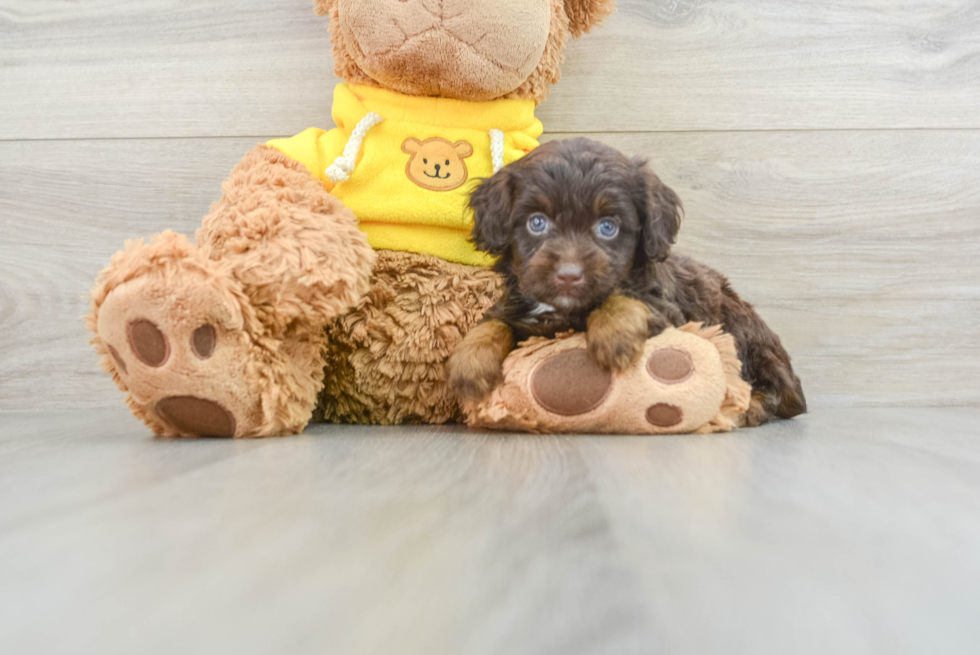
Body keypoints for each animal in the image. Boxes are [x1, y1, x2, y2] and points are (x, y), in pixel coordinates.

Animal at [448, 138, 808, 426]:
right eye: (537, 223)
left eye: (608, 227)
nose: (569, 275)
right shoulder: (518, 305)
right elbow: (494, 321)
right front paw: (469, 362)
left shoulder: (667, 310)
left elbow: (620, 297)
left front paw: (614, 337)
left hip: (744, 333)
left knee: (774, 393)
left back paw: (743, 409)